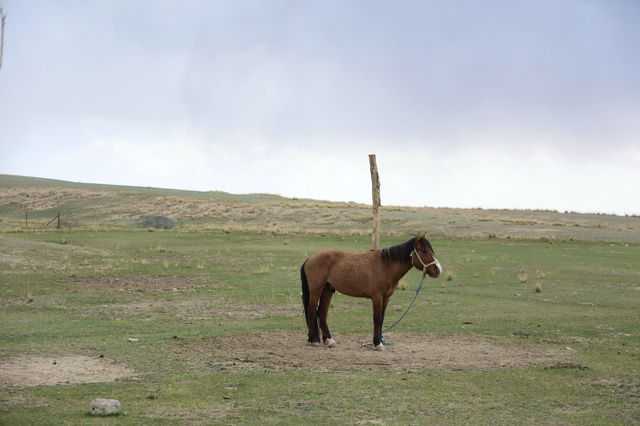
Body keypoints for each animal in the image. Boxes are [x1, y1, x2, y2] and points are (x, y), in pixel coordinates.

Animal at [300, 235, 440, 352]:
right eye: (424, 251)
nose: (438, 270)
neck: (385, 266)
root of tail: (310, 258)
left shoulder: (386, 298)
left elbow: (381, 319)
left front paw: (378, 341)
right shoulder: (377, 297)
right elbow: (377, 319)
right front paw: (378, 344)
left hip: (327, 291)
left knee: (322, 314)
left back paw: (329, 340)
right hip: (316, 291)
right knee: (312, 312)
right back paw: (314, 340)